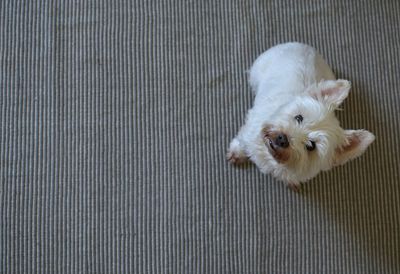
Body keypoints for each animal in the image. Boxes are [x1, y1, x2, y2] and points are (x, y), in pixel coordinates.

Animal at [228, 42, 376, 191]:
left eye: (311, 146)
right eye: (299, 117)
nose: (283, 138)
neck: (270, 155)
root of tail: (306, 47)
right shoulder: (250, 129)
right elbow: (242, 141)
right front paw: (237, 153)